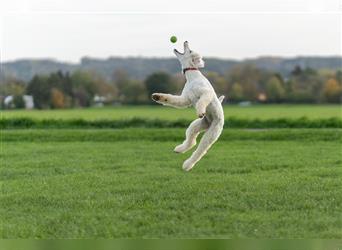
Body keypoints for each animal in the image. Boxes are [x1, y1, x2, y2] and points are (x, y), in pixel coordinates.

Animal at [152, 41, 224, 171]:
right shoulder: (185, 99)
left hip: (211, 134)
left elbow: (202, 101)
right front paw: (157, 97)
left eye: (190, 51)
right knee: (192, 141)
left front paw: (200, 111)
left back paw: (187, 165)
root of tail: (211, 122)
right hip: (196, 125)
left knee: (200, 150)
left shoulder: (206, 93)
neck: (192, 77)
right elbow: (172, 99)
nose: (186, 41)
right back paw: (179, 149)